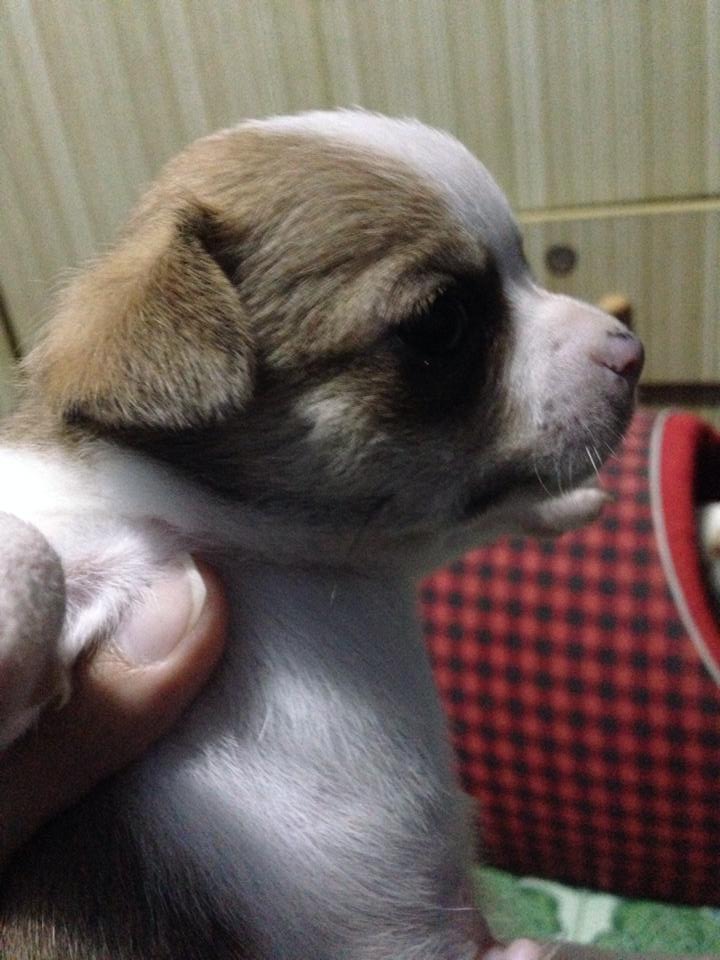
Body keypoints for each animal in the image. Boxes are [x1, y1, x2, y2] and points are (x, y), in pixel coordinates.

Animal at [0, 111, 658, 959]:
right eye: (443, 324)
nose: (630, 349)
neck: (264, 551)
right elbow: (33, 552)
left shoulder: (384, 546)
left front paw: (566, 504)